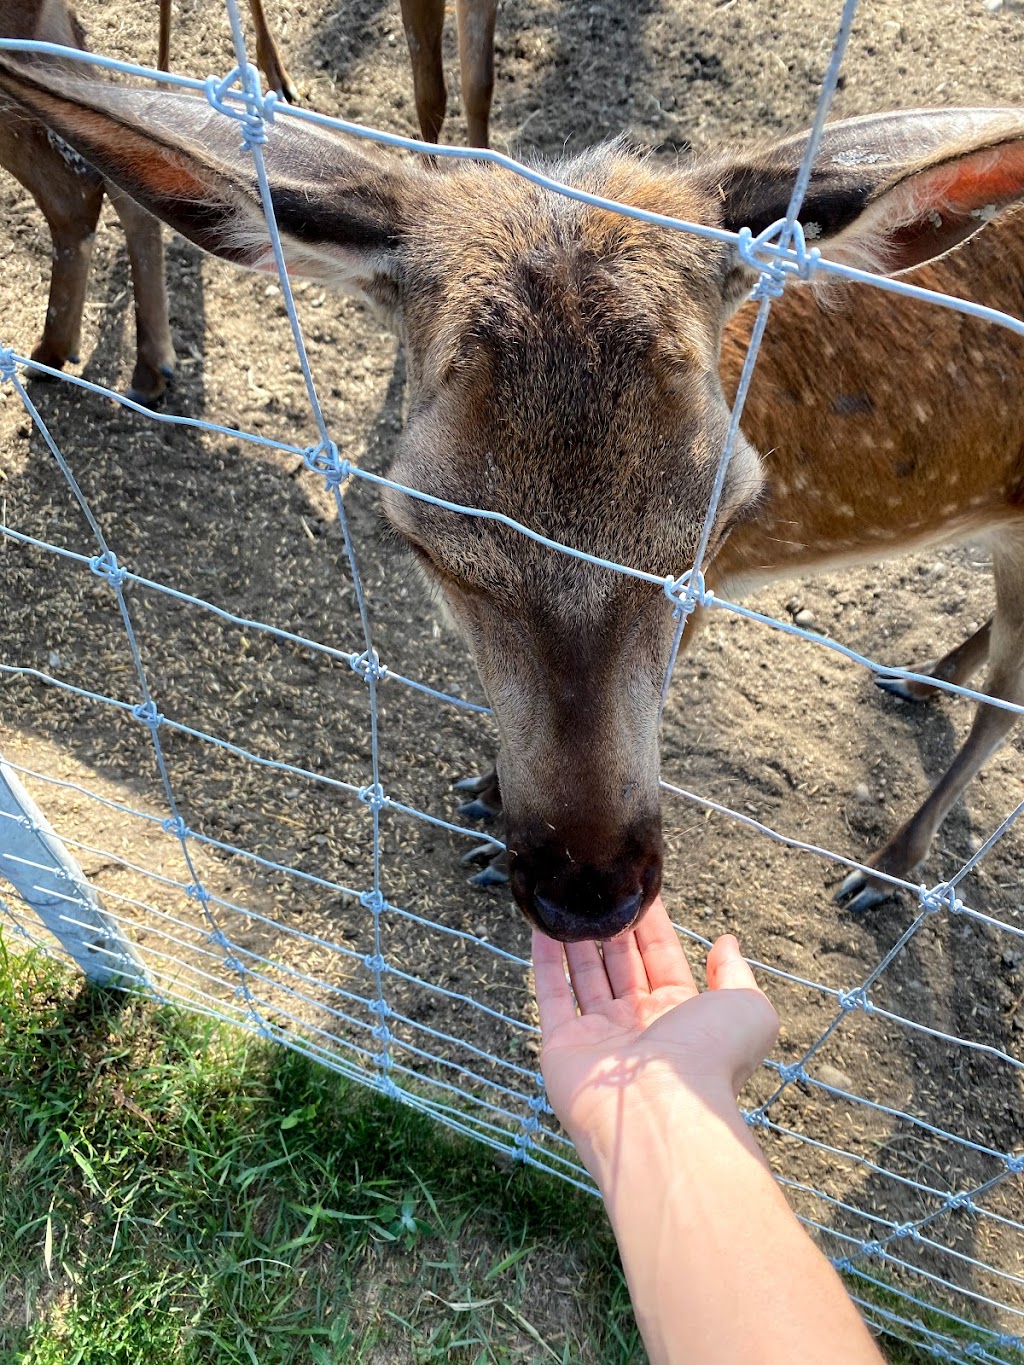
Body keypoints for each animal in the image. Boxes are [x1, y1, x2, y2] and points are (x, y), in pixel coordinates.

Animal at [2, 55, 1024, 950]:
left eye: (721, 522)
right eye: (430, 543)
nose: (589, 893)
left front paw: (491, 828)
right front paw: (487, 796)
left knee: (1009, 702)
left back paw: (885, 869)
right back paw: (915, 678)